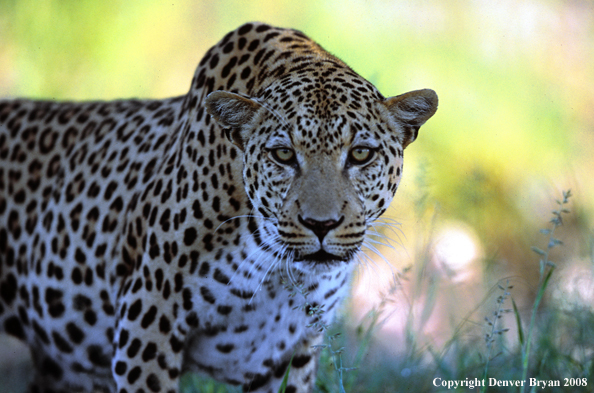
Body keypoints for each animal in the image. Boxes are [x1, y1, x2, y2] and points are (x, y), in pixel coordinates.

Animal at [0, 22, 434, 392]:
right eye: (283, 155)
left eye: (361, 154)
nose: (321, 224)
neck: (277, 270)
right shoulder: (148, 320)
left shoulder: (289, 353)